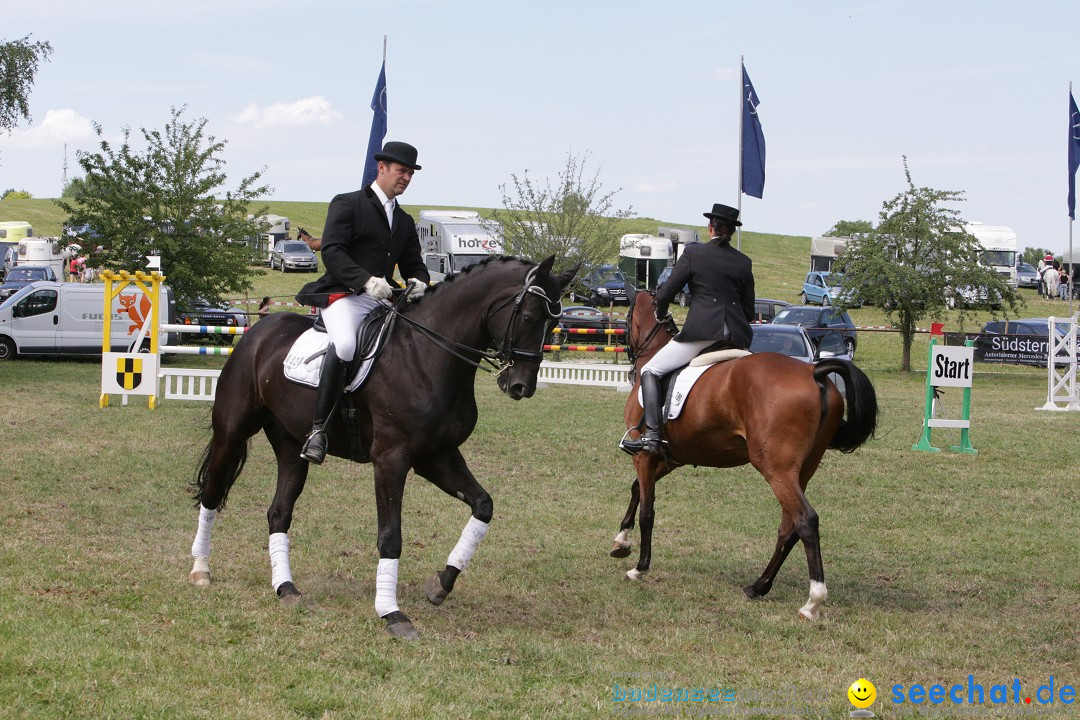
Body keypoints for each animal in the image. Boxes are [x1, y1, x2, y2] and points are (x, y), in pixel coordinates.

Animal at [187, 255, 574, 639]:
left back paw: (286, 589)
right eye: (529, 317)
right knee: (212, 492)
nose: (521, 386)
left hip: (290, 445)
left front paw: (440, 584)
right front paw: (392, 613)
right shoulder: (391, 460)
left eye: (555, 322)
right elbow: (391, 537)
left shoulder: (437, 457)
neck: (427, 354)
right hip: (232, 431)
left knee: (278, 513)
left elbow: (483, 506)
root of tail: (257, 332)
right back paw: (201, 570)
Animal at [609, 291, 876, 621]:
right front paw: (621, 542)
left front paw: (639, 568)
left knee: (805, 520)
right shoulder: (672, 457)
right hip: (801, 470)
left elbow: (648, 510)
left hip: (776, 469)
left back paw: (812, 601)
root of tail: (814, 371)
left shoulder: (645, 455)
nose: (629, 358)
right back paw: (758, 587)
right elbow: (637, 489)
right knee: (788, 526)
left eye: (627, 316)